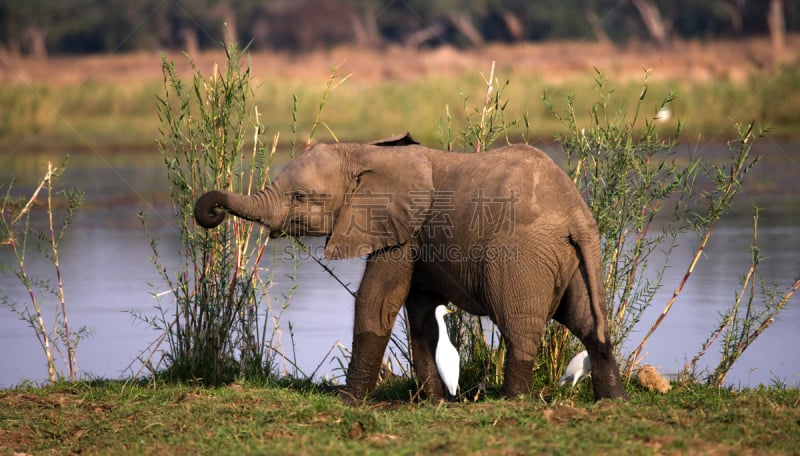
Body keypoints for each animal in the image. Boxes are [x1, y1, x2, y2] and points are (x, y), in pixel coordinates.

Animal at [192, 133, 624, 402]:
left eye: (300, 197)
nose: (212, 212)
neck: (364, 153)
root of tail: (576, 214)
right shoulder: (416, 239)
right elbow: (420, 315)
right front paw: (433, 402)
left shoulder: (401, 232)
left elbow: (377, 302)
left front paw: (347, 401)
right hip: (573, 260)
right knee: (589, 323)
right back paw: (611, 402)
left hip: (523, 257)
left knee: (519, 325)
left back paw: (515, 402)